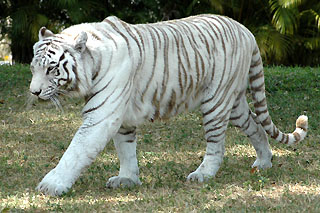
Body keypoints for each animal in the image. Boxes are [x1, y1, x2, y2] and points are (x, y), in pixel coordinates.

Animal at [30, 14, 308, 196]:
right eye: (33, 68)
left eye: (52, 69)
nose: (34, 92)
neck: (92, 61)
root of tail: (245, 30)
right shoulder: (122, 117)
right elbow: (126, 149)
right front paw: (127, 178)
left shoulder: (102, 115)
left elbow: (76, 151)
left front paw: (52, 185)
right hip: (235, 103)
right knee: (256, 126)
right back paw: (264, 162)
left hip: (215, 101)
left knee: (216, 145)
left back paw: (203, 174)